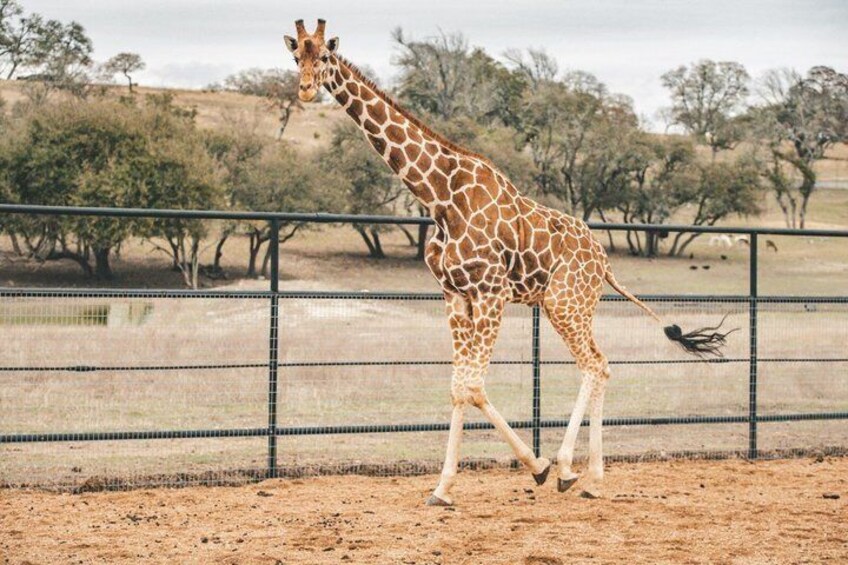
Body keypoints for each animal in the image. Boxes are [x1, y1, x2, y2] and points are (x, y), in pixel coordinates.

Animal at [284, 19, 732, 505]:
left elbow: (473, 385)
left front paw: (537, 466)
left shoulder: (491, 291)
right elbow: (458, 387)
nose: (306, 89)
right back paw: (587, 476)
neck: (439, 197)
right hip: (571, 306)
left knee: (594, 364)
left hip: (564, 303)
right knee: (600, 364)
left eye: (324, 56)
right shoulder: (454, 294)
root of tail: (604, 262)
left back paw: (574, 471)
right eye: (296, 56)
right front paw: (443, 488)